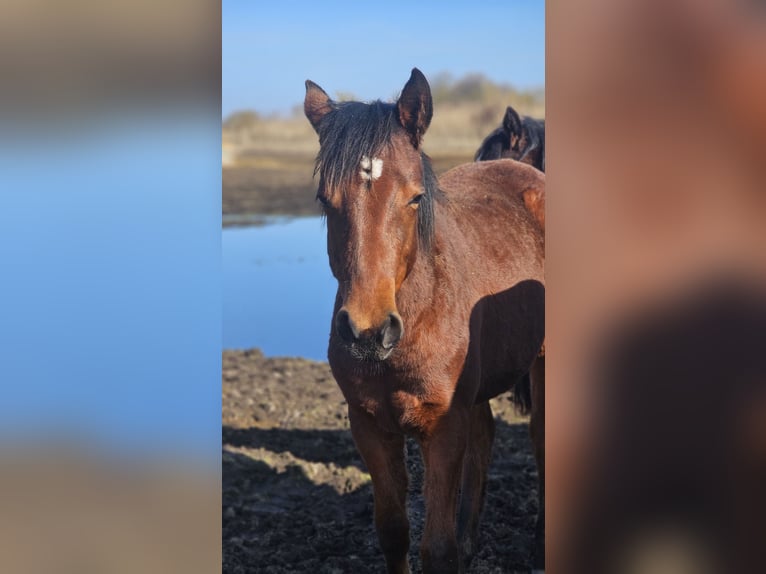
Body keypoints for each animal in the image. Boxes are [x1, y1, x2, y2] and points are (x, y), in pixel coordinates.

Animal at [304, 68, 545, 573]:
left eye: (415, 199)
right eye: (325, 200)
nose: (368, 332)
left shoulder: (442, 428)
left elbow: (436, 549)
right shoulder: (369, 426)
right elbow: (394, 532)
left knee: (540, 439)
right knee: (486, 436)